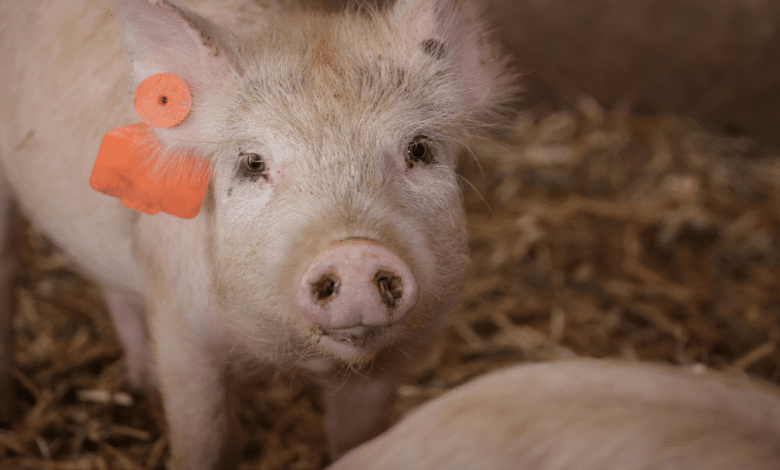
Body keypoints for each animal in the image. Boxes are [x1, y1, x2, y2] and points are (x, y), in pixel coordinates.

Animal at [0, 0, 520, 467]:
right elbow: (203, 441)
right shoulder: (181, 328)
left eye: (418, 149)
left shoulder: (390, 361)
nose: (355, 253)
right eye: (253, 163)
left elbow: (357, 439)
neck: (284, 355)